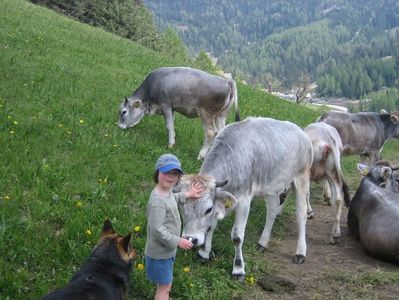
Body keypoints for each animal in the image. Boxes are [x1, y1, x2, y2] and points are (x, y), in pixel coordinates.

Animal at [177, 116, 314, 278]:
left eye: (208, 209)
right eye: (181, 208)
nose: (191, 239)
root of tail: (302, 133)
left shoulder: (243, 201)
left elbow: (237, 237)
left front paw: (238, 268)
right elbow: (211, 226)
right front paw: (204, 253)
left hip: (302, 178)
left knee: (301, 215)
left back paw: (300, 252)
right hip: (271, 188)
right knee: (272, 212)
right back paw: (263, 243)